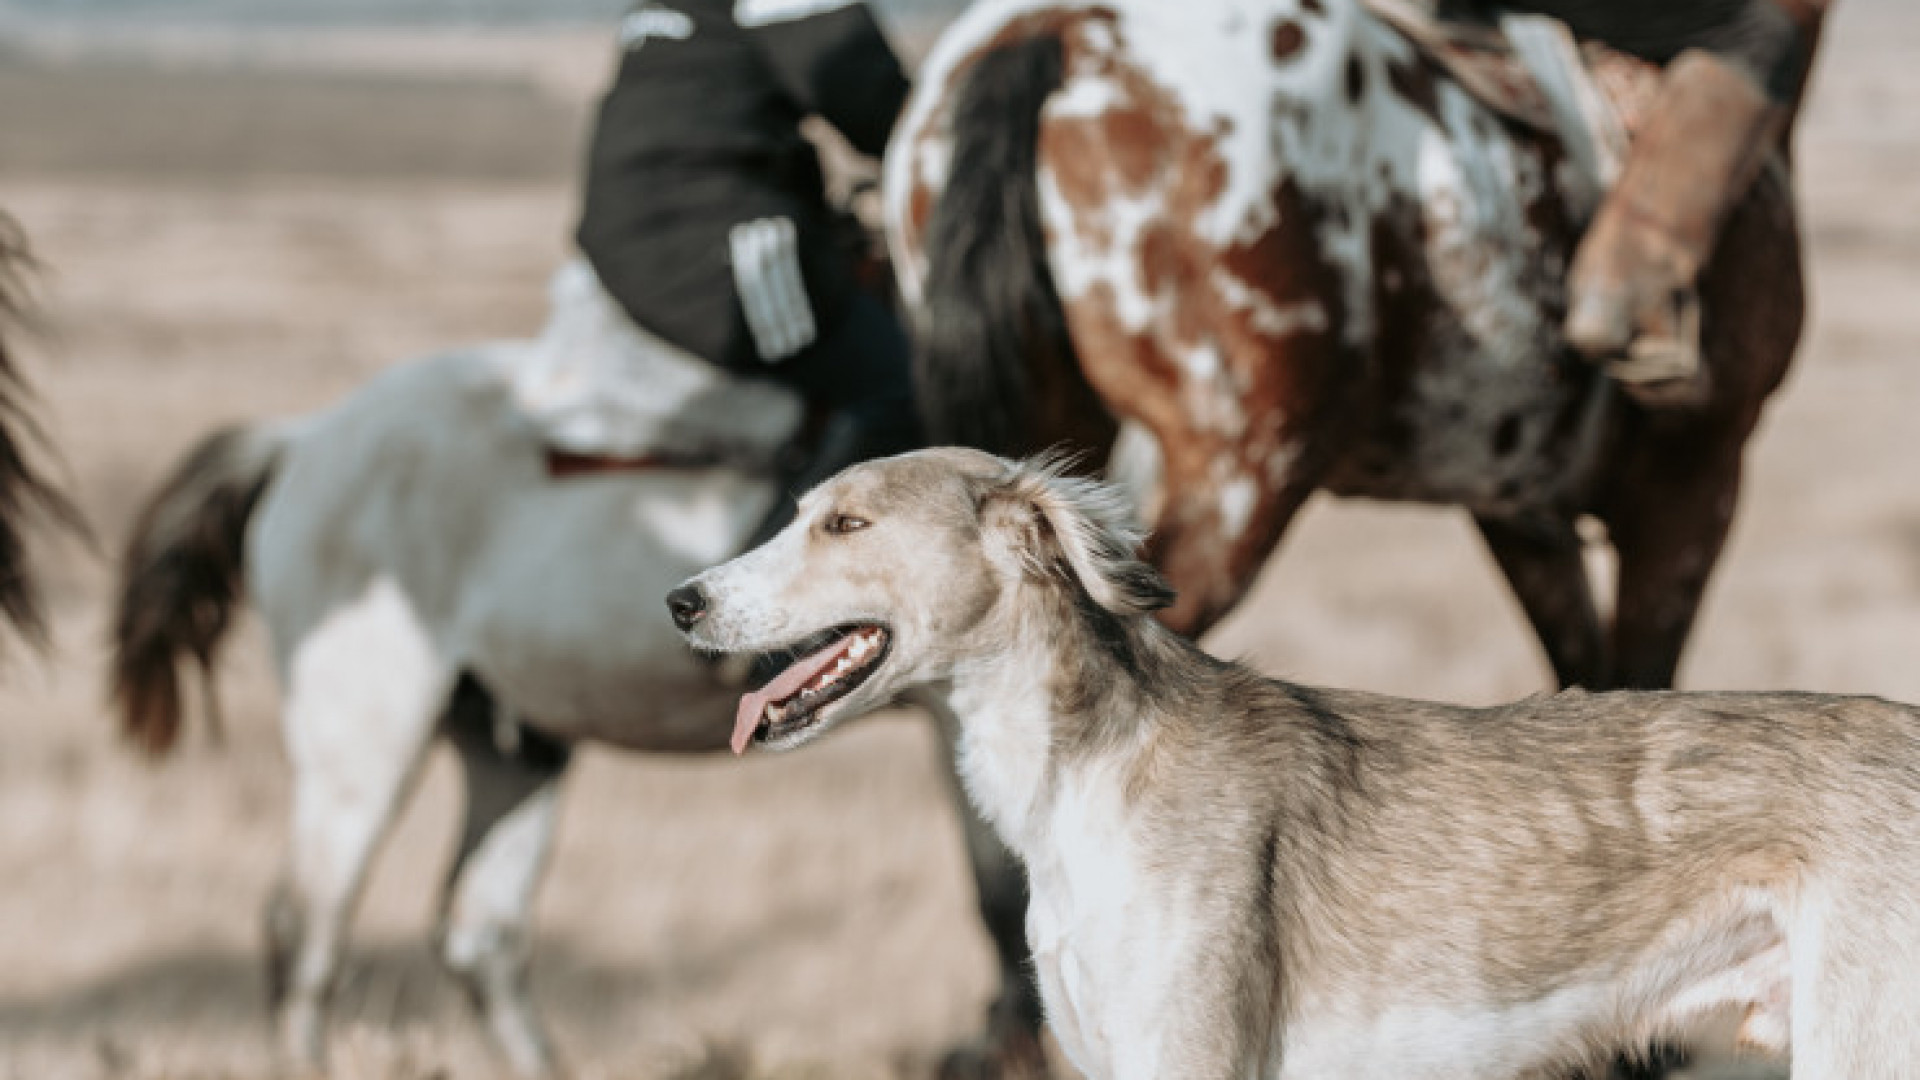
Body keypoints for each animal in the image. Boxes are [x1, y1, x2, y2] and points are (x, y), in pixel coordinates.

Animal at [105, 263, 1029, 1076]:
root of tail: (303, 440)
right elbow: (1005, 897)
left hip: (513, 746)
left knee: (479, 933)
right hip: (364, 742)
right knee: (307, 929)